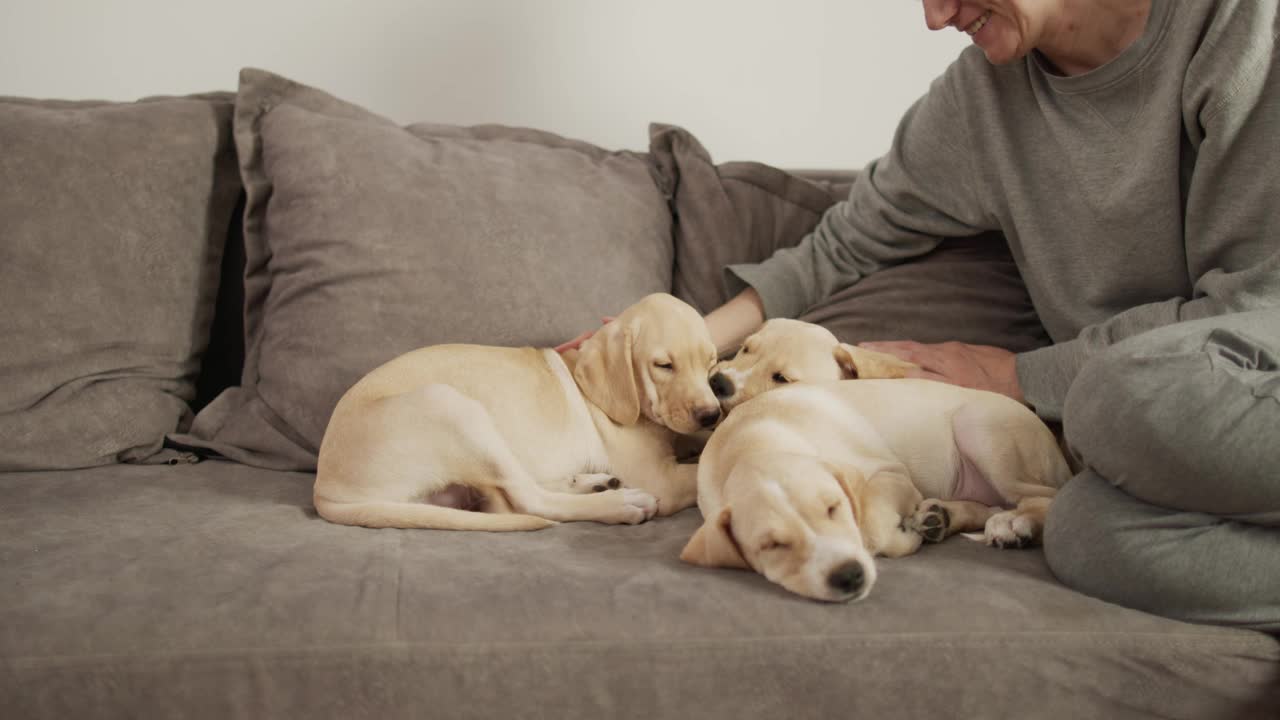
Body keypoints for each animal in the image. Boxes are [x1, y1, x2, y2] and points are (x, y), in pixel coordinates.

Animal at [312, 288, 721, 530]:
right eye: (663, 366)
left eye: (711, 362)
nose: (712, 414)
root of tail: (323, 487)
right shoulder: (660, 478)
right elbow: (698, 470)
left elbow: (698, 442)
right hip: (451, 407)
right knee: (530, 501)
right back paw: (619, 502)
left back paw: (593, 483)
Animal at [680, 379, 1070, 602]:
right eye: (772, 545)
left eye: (834, 508)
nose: (848, 576)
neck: (750, 443)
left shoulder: (890, 473)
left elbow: (871, 524)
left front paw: (903, 538)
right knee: (989, 505)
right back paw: (940, 516)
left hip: (982, 432)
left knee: (1043, 496)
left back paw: (1013, 524)